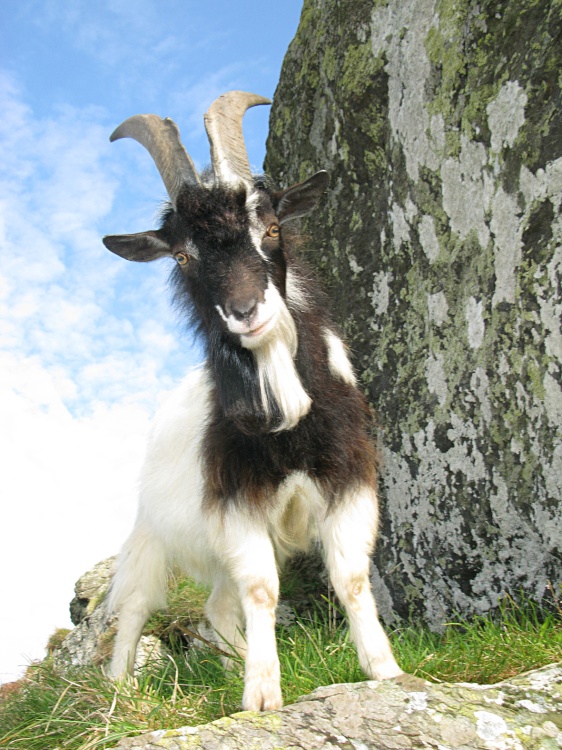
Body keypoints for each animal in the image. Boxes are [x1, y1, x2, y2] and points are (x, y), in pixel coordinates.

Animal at [103, 91, 402, 711]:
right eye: (182, 257)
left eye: (270, 227)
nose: (246, 311)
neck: (286, 422)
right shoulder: (237, 497)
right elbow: (262, 588)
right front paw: (263, 695)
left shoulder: (348, 479)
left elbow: (350, 577)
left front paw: (385, 670)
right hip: (151, 533)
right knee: (135, 605)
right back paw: (122, 692)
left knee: (216, 609)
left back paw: (229, 661)